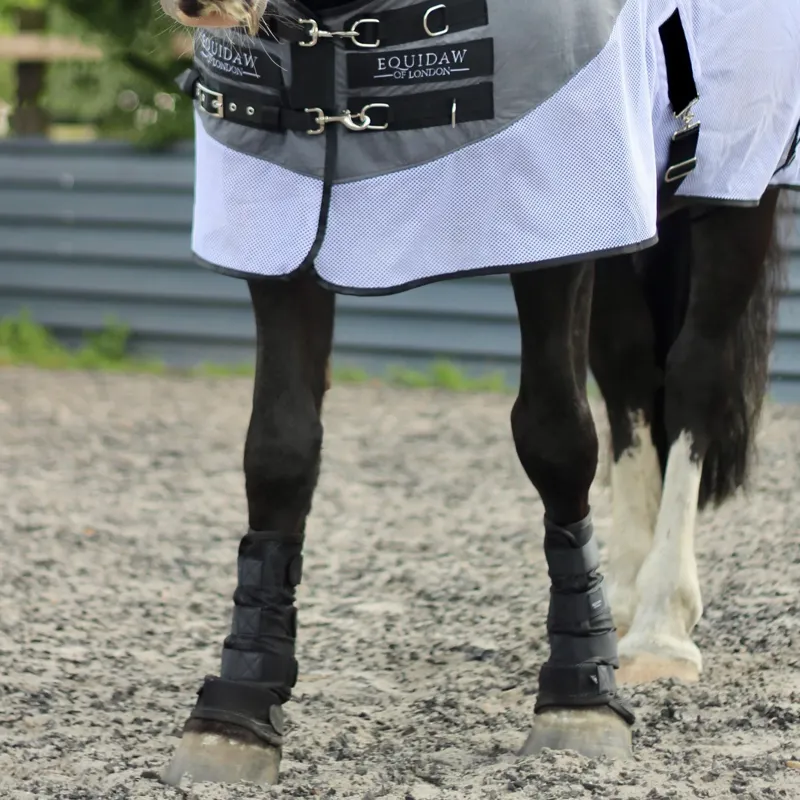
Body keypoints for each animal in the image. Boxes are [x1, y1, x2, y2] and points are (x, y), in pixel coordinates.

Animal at [156, 0, 790, 787]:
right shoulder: (283, 230)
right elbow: (279, 449)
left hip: (735, 183)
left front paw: (580, 698)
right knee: (630, 371)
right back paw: (626, 597)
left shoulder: (558, 225)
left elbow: (555, 436)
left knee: (696, 373)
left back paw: (660, 628)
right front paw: (236, 709)